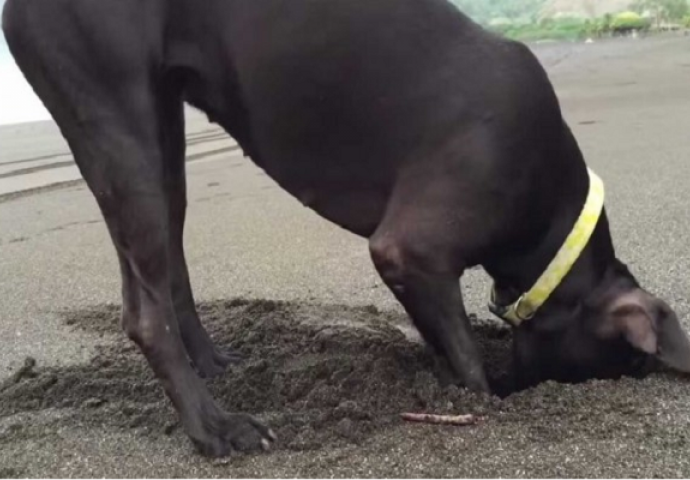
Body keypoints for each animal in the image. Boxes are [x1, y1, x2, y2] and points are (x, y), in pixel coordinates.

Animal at [5, 0, 688, 458]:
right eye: (630, 363)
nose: (645, 372)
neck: (549, 225)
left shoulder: (417, 270)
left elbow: (442, 334)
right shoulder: (410, 248)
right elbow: (467, 355)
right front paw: (479, 396)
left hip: (160, 134)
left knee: (168, 264)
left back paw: (212, 363)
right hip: (116, 113)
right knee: (146, 312)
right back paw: (216, 429)